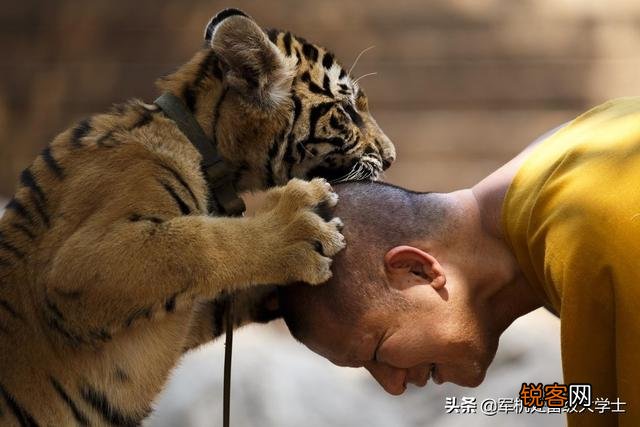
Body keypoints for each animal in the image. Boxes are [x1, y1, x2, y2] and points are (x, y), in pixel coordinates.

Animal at [0, 8, 395, 426]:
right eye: (347, 111)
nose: (391, 157)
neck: (204, 144)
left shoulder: (184, 315)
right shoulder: (83, 262)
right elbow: (200, 244)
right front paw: (295, 226)